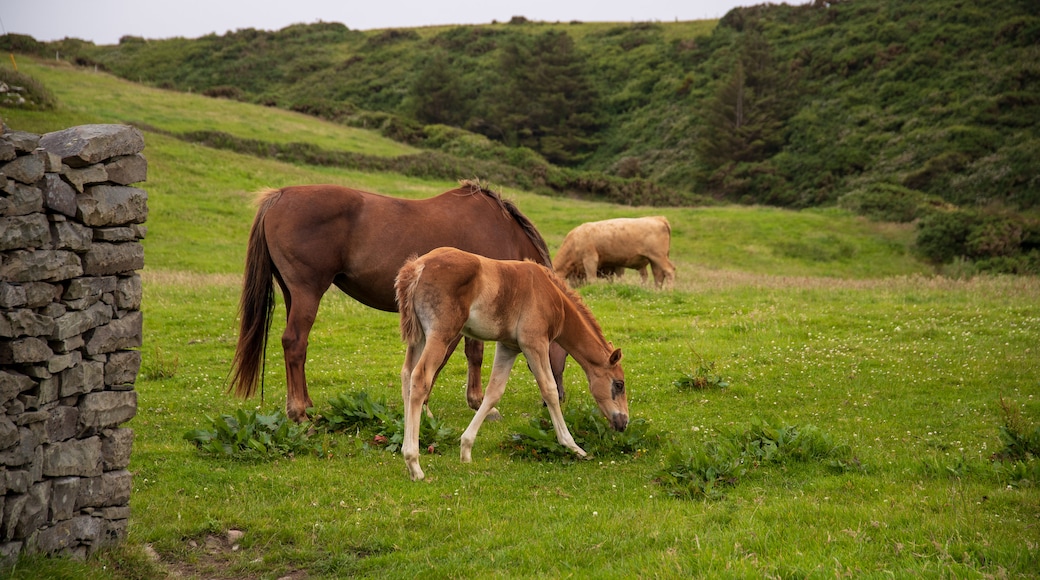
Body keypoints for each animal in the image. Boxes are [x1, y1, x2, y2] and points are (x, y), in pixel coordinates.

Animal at [229, 181, 569, 422]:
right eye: (565, 353)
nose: (558, 396)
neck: (502, 231)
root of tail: (279, 196)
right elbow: (457, 356)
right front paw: (452, 404)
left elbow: (467, 355)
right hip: (307, 292)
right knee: (295, 343)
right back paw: (299, 412)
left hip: (292, 293)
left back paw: (306, 406)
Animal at [395, 247, 624, 480]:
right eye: (619, 384)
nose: (623, 422)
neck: (551, 295)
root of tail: (417, 267)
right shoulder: (535, 343)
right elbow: (549, 389)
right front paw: (573, 446)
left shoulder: (508, 347)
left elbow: (494, 392)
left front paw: (466, 449)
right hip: (441, 334)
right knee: (420, 377)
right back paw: (414, 463)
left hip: (420, 337)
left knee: (407, 375)